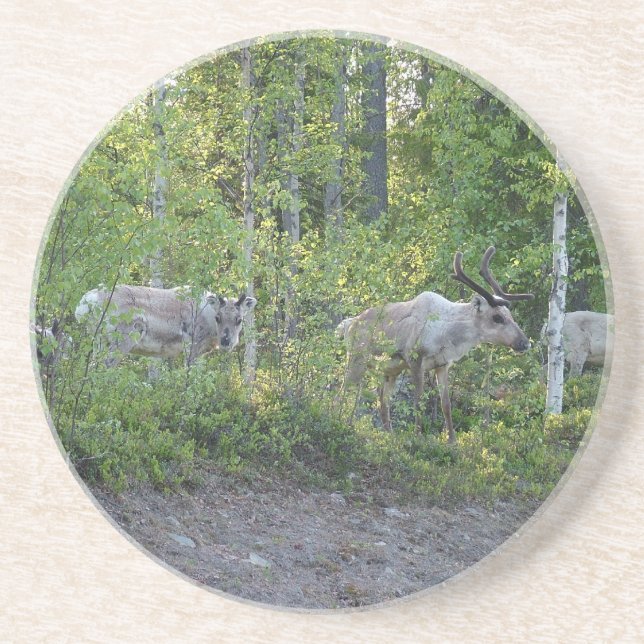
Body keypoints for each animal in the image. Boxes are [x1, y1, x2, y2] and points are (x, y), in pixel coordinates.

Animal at [74, 285, 257, 366]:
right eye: (218, 317)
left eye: (239, 319)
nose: (226, 341)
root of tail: (86, 302)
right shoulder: (193, 347)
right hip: (121, 340)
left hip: (98, 341)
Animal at [341, 247, 534, 443]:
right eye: (497, 317)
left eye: (510, 314)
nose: (525, 343)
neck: (447, 334)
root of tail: (349, 324)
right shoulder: (415, 360)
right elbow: (418, 402)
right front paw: (418, 436)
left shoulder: (442, 365)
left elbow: (446, 404)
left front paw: (452, 440)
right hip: (356, 360)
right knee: (343, 391)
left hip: (390, 370)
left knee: (382, 399)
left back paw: (389, 435)